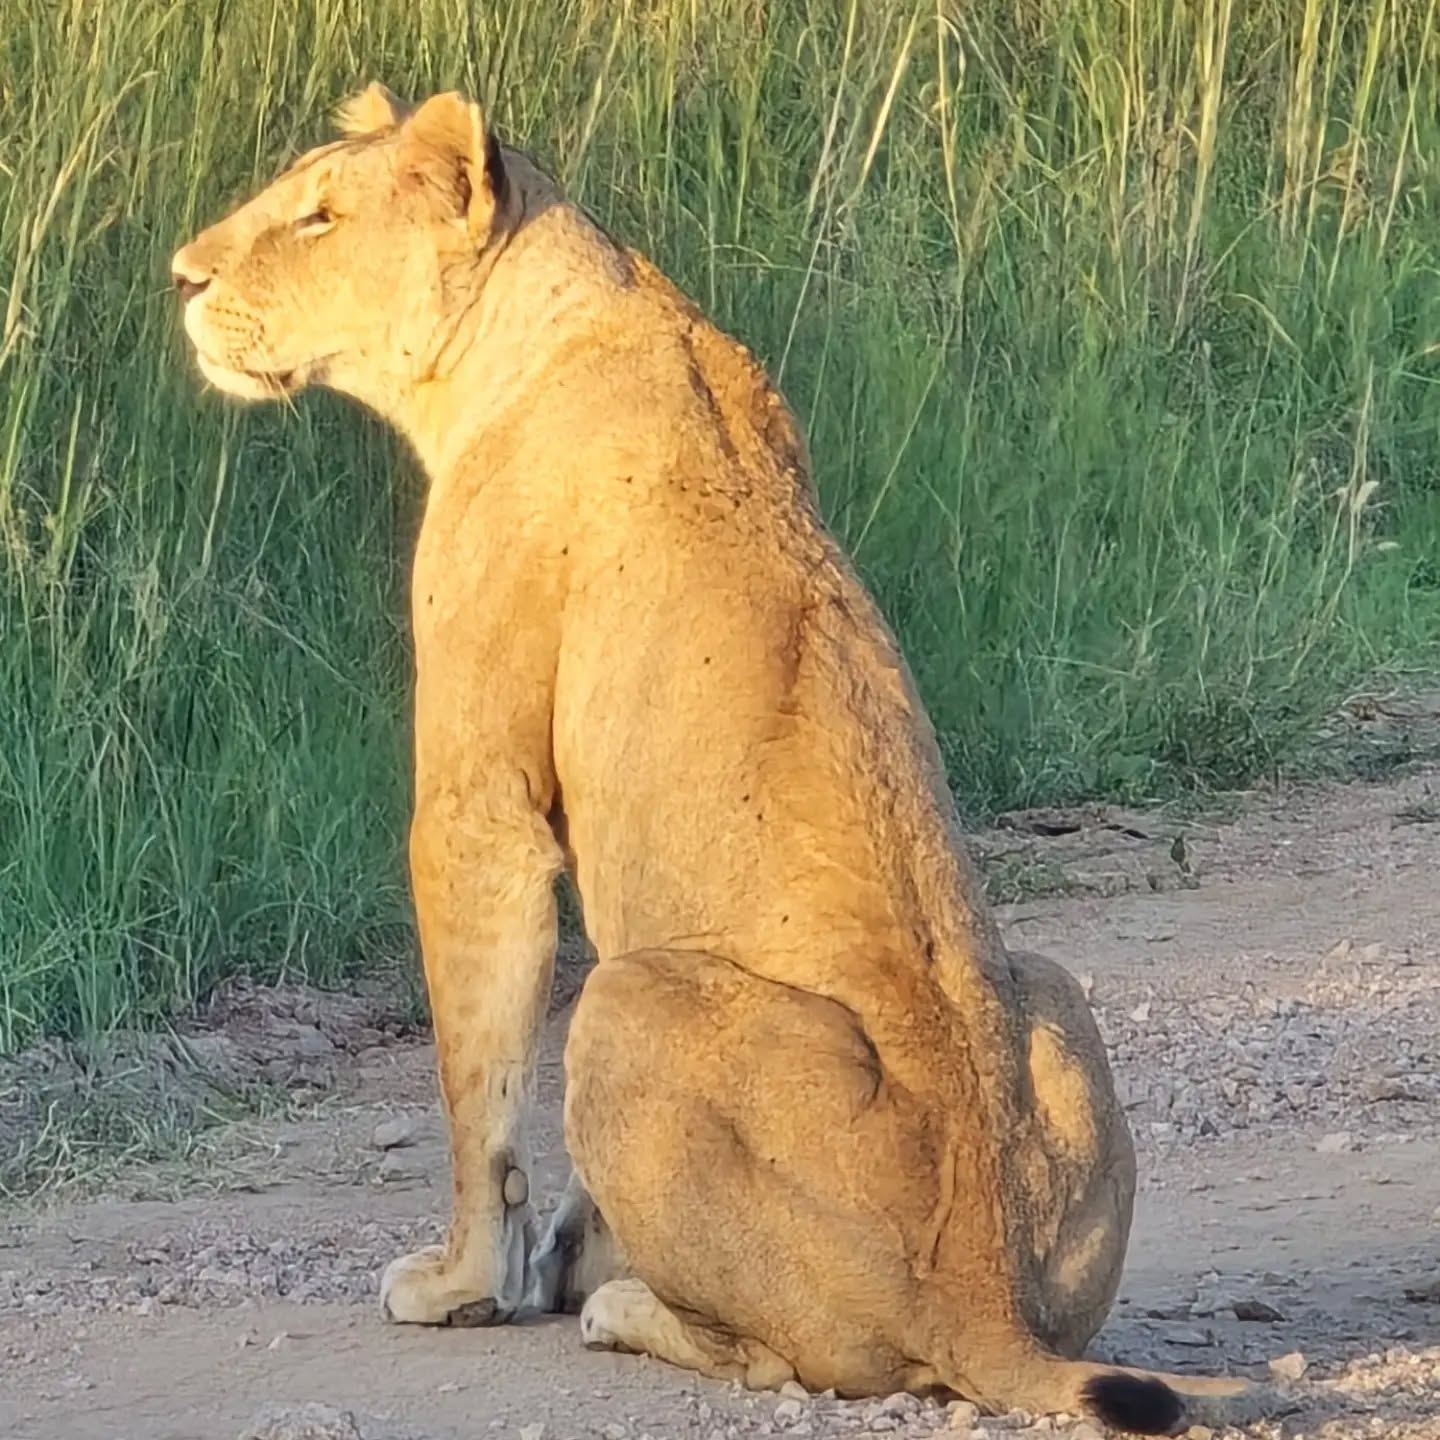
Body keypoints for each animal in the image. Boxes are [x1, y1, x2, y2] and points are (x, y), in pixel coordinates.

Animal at [171, 84, 1269, 1433]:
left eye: (319, 217)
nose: (181, 276)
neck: (557, 308)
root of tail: (982, 1300)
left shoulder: (478, 804)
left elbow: (475, 1077)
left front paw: (466, 1282)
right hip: (1052, 988)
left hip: (624, 1003)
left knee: (777, 1358)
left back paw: (617, 1302)